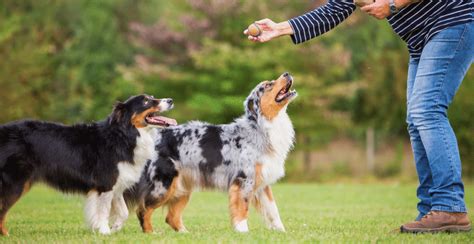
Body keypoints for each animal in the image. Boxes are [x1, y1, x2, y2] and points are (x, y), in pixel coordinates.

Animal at [0, 94, 176, 235]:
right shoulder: (106, 184)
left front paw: (114, 228)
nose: (171, 100)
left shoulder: (117, 184)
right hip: (15, 184)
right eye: (146, 101)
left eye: (152, 97)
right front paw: (105, 232)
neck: (123, 135)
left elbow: (124, 212)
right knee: (2, 210)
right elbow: (103, 211)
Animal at [125, 72, 296, 233]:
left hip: (182, 187)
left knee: (171, 217)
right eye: (267, 85)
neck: (261, 127)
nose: (287, 73)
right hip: (163, 185)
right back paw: (151, 234)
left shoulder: (262, 183)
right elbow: (242, 209)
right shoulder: (244, 180)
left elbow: (273, 211)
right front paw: (243, 232)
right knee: (143, 210)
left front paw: (282, 232)